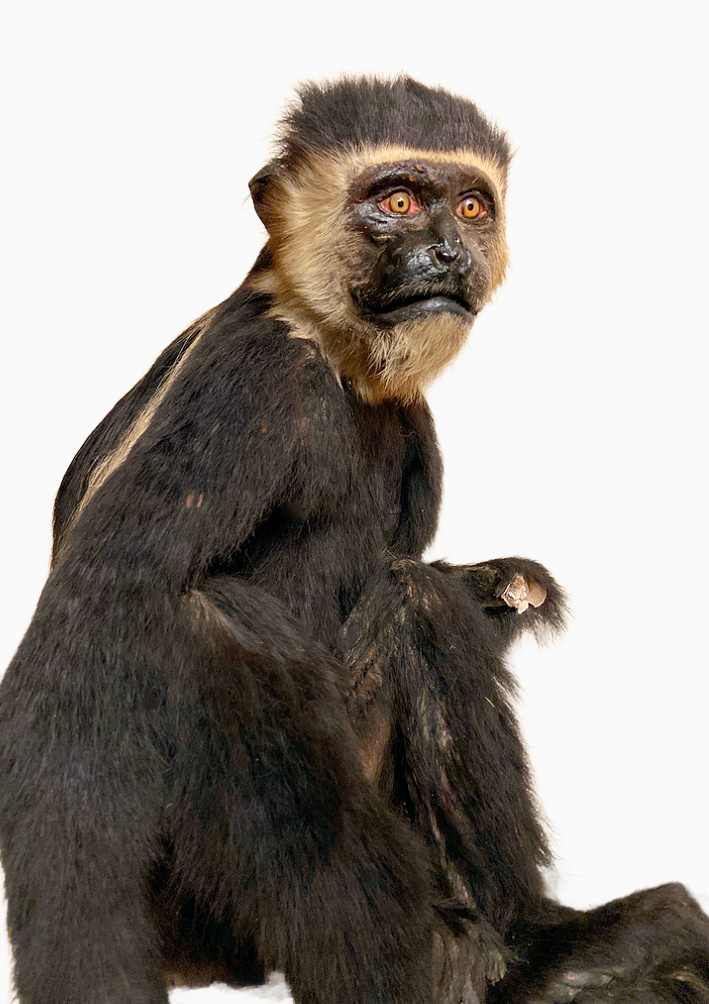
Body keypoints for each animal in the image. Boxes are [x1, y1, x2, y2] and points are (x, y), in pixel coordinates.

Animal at [1, 75, 708, 1004]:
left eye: (471, 206)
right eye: (397, 201)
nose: (446, 252)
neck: (329, 346)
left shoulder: (410, 418)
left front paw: (507, 584)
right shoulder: (254, 380)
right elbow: (99, 607)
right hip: (202, 904)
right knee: (243, 619)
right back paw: (496, 961)